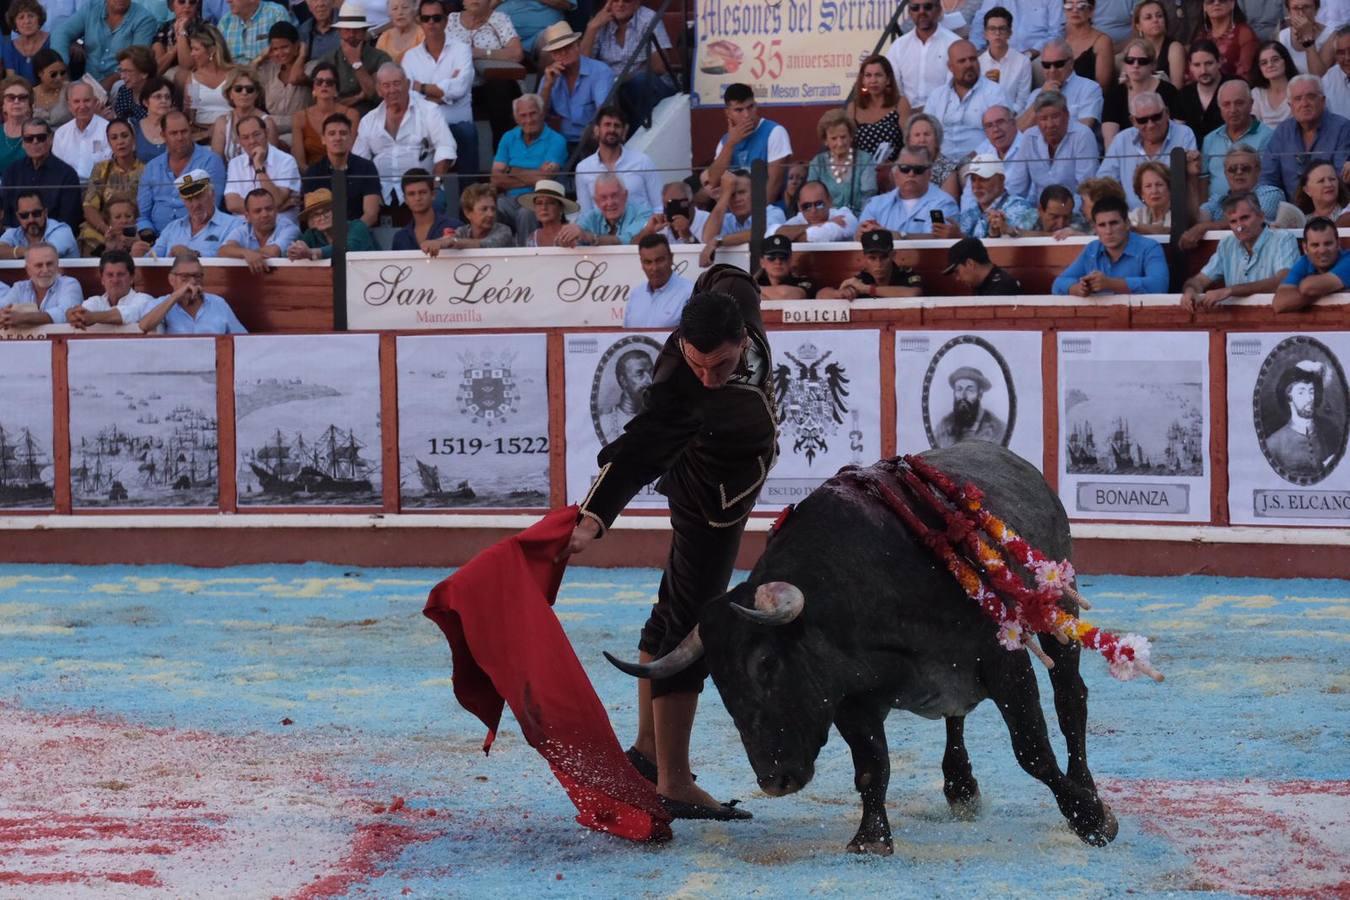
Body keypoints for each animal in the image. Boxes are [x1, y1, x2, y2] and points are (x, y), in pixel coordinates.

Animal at [612, 442, 1117, 858]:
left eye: (767, 662)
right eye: (718, 681)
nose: (774, 782)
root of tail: (1020, 465)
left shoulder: (1004, 662)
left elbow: (1032, 750)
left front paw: (1092, 818)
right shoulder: (851, 699)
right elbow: (872, 767)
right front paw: (871, 838)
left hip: (1059, 608)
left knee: (1071, 699)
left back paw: (1084, 783)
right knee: (956, 714)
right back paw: (960, 785)